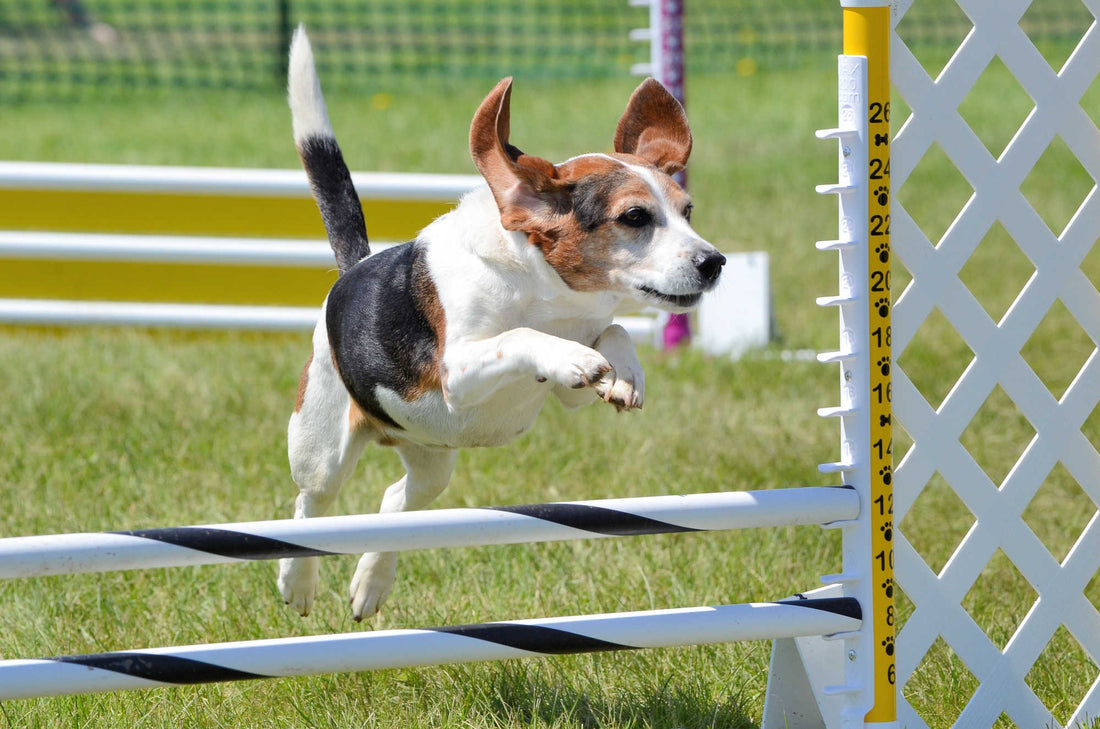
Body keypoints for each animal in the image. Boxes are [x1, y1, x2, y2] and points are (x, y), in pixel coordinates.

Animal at [277, 29, 721, 620]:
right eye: (634, 217)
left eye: (687, 211)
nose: (715, 263)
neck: (544, 292)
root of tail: (352, 271)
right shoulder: (457, 372)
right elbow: (520, 337)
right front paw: (568, 354)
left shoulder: (573, 386)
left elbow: (613, 333)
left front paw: (625, 375)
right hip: (322, 446)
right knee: (309, 504)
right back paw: (297, 581)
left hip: (431, 461)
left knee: (395, 502)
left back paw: (370, 584)